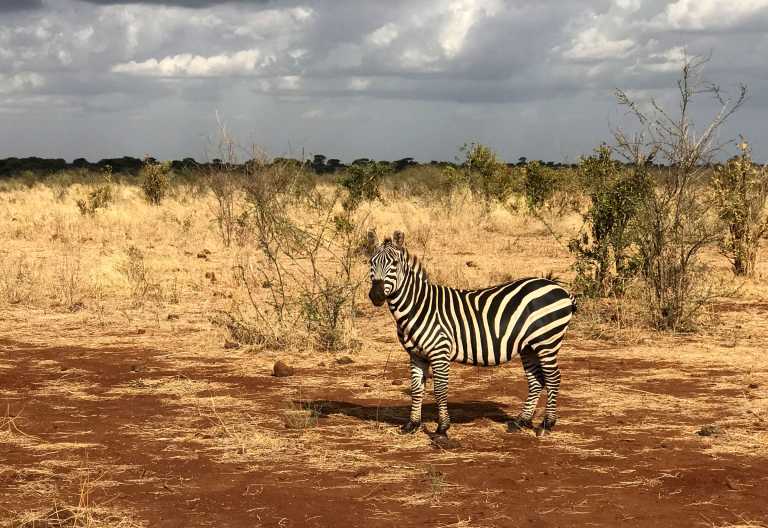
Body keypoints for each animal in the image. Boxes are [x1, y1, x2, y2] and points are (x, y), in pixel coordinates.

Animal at [368, 230, 577, 436]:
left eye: (394, 264)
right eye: (371, 262)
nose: (376, 296)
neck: (418, 306)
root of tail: (561, 290)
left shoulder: (439, 351)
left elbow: (440, 390)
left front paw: (442, 428)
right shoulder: (417, 355)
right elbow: (416, 389)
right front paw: (412, 425)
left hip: (547, 342)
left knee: (553, 378)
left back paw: (546, 425)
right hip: (529, 347)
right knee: (536, 381)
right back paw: (520, 422)